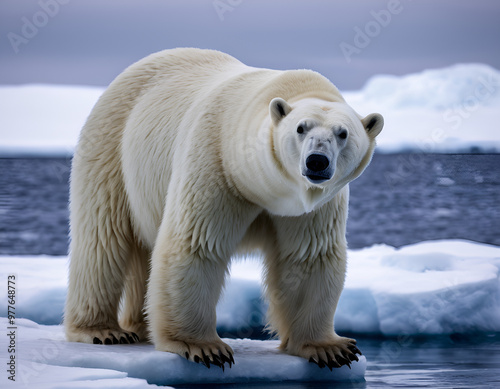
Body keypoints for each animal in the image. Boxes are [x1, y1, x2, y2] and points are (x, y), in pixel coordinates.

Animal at [63, 48, 382, 370]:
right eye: (300, 128)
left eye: (343, 133)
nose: (317, 161)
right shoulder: (215, 163)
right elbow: (197, 243)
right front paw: (203, 347)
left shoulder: (314, 206)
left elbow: (309, 257)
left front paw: (330, 348)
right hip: (111, 147)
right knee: (103, 240)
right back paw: (103, 330)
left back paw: (139, 327)